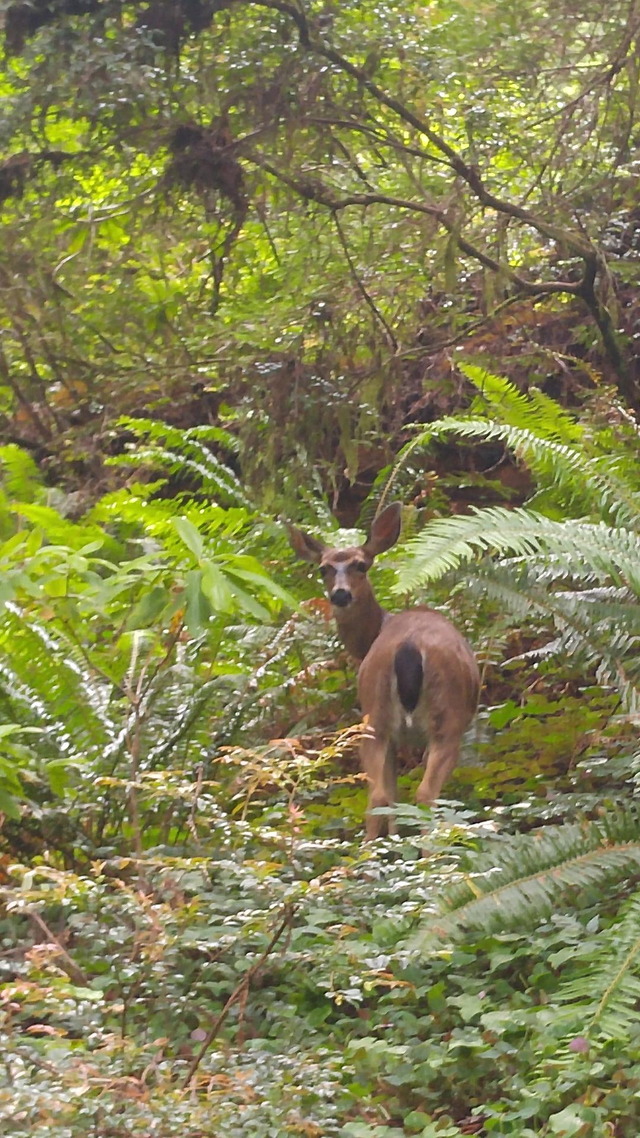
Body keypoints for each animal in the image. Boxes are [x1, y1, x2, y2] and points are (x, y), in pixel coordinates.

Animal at [289, 502, 478, 842]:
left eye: (361, 565)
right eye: (323, 568)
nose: (340, 594)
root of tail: (409, 648)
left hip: (376, 717)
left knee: (378, 797)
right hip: (444, 717)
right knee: (422, 794)